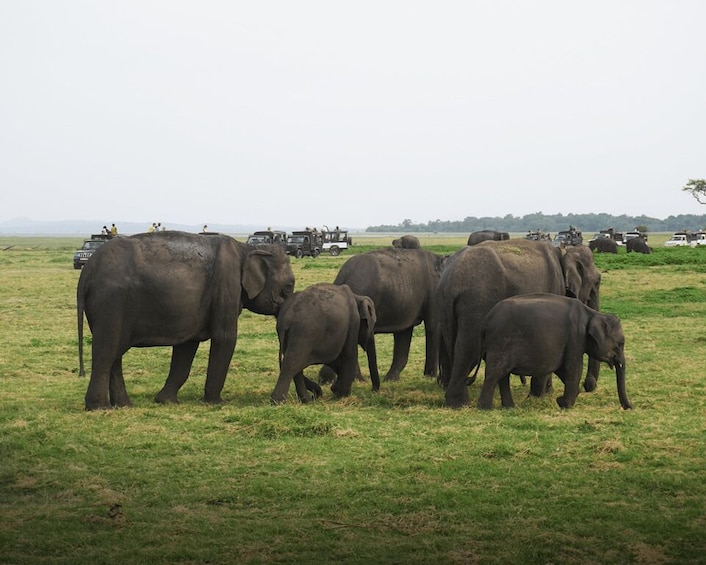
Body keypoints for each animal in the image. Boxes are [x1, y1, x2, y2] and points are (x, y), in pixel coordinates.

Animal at [77, 229, 294, 410]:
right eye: (289, 286)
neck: (246, 248)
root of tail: (87, 271)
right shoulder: (227, 286)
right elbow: (225, 338)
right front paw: (216, 403)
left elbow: (187, 346)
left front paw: (165, 401)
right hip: (111, 301)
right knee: (106, 351)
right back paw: (99, 408)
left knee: (114, 353)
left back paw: (124, 405)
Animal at [326, 247, 446, 388]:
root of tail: (342, 276)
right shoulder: (433, 292)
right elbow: (433, 327)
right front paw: (430, 377)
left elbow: (404, 333)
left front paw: (391, 379)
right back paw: (359, 380)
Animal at [434, 237, 600, 406]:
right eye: (597, 282)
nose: (588, 385)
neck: (564, 250)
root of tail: (451, 281)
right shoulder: (555, 287)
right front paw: (537, 396)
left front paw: (547, 392)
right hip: (477, 303)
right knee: (469, 349)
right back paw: (460, 403)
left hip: (445, 307)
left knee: (452, 346)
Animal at [470, 294, 628, 408]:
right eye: (620, 344)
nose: (628, 408)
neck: (592, 313)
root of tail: (486, 322)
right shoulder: (575, 338)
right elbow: (574, 368)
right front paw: (564, 403)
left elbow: (561, 368)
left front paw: (564, 399)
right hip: (500, 343)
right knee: (494, 374)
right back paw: (485, 408)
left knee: (503, 376)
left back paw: (509, 407)